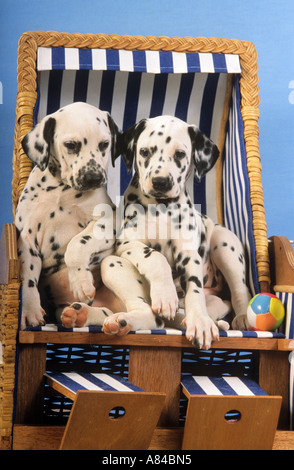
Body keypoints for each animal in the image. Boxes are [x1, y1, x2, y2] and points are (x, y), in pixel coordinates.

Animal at [15, 102, 121, 330]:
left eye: (104, 144)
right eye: (71, 145)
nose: (94, 177)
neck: (60, 189)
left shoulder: (108, 221)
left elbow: (77, 243)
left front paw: (80, 282)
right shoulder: (26, 239)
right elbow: (27, 277)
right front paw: (29, 310)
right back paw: (78, 315)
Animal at [66, 114, 250, 348]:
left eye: (180, 154)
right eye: (145, 152)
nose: (160, 182)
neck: (162, 208)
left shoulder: (189, 255)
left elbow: (195, 289)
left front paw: (200, 321)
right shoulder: (129, 242)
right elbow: (155, 257)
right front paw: (165, 296)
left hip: (225, 246)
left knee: (240, 290)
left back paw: (241, 317)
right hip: (114, 264)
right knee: (152, 316)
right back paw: (103, 318)